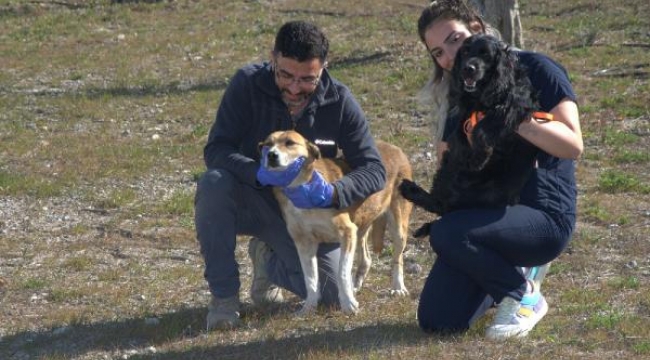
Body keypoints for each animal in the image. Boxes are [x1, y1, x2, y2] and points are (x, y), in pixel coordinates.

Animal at [258, 130, 410, 316]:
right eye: (267, 144)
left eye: (289, 143)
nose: (272, 155)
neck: (299, 188)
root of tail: (395, 148)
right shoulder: (303, 243)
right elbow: (310, 278)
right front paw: (309, 307)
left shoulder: (346, 233)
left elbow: (341, 273)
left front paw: (348, 304)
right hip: (361, 227)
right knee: (366, 258)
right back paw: (356, 285)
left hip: (397, 227)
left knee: (398, 259)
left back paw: (398, 287)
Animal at [400, 33, 540, 236]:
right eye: (465, 52)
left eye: (486, 54)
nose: (468, 69)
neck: (480, 97)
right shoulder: (465, 111)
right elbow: (460, 133)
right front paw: (466, 152)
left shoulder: (516, 104)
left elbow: (483, 126)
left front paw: (479, 156)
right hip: (446, 173)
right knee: (441, 203)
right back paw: (410, 189)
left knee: (443, 206)